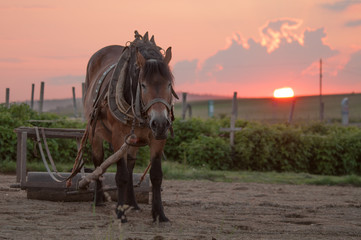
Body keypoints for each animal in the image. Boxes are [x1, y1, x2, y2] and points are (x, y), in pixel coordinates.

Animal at [81, 31, 177, 223]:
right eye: (143, 85)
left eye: (169, 84)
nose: (160, 123)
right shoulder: (119, 137)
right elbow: (122, 176)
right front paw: (120, 213)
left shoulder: (158, 138)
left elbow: (156, 175)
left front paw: (159, 214)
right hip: (95, 133)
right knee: (98, 163)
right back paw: (98, 200)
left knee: (131, 164)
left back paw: (132, 203)